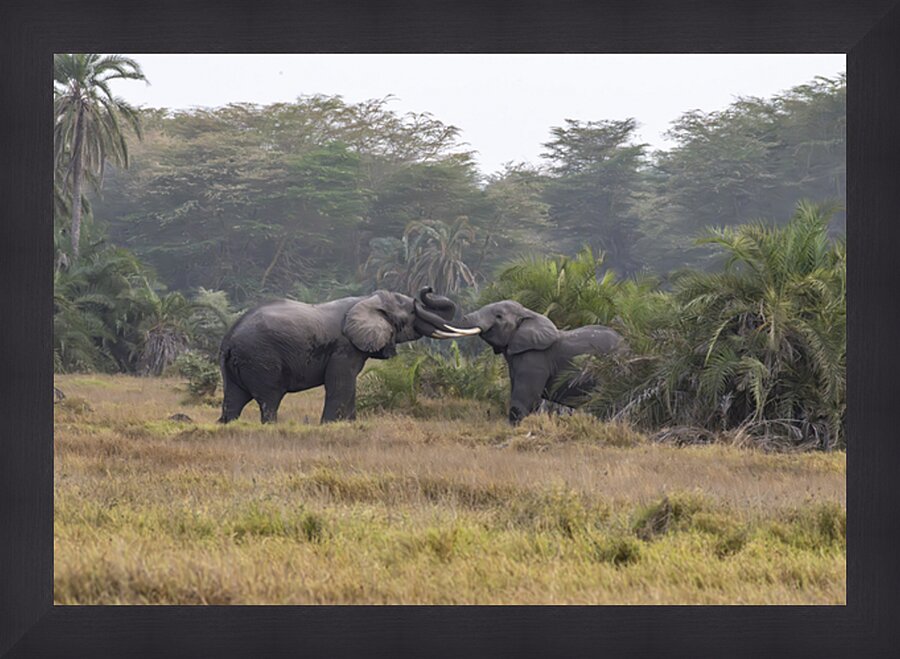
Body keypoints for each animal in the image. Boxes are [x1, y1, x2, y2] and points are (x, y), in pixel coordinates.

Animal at [217, 287, 469, 424]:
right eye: (412, 313)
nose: (428, 289)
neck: (367, 299)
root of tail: (228, 340)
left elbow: (349, 385)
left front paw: (350, 425)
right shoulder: (344, 347)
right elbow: (340, 384)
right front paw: (329, 426)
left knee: (234, 400)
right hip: (261, 358)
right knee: (269, 399)